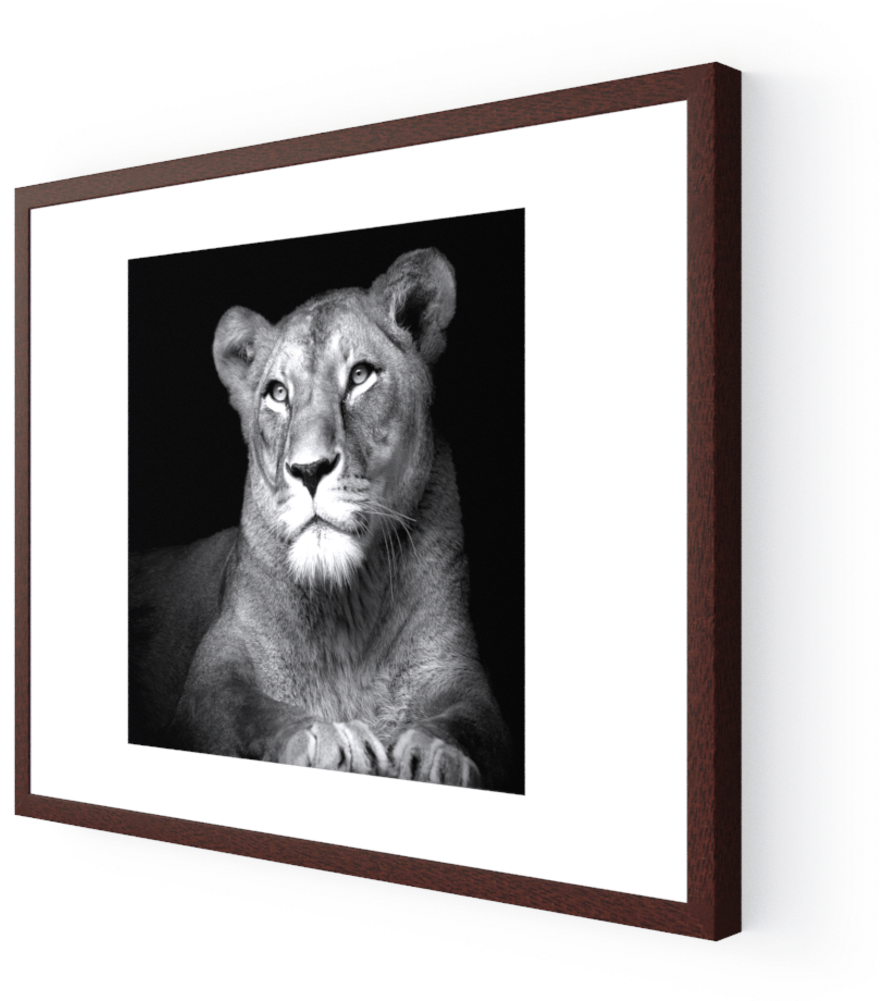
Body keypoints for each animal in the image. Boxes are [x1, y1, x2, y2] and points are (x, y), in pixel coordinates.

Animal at [129, 248, 511, 791]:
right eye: (277, 393)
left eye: (360, 376)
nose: (309, 470)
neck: (349, 602)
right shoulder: (215, 673)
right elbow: (250, 709)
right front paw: (330, 737)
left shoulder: (458, 671)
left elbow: (472, 724)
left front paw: (435, 755)